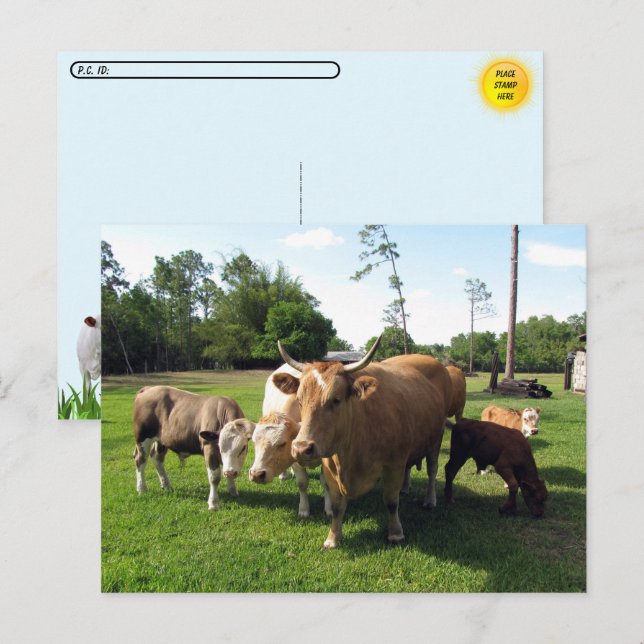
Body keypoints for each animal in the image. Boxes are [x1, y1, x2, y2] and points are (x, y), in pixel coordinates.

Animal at [275, 336, 451, 549]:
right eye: (299, 400)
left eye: (336, 400)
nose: (301, 448)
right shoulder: (330, 468)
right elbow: (336, 506)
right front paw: (333, 538)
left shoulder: (393, 465)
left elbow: (391, 501)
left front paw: (396, 533)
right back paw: (405, 488)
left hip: (436, 439)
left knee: (432, 470)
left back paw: (430, 500)